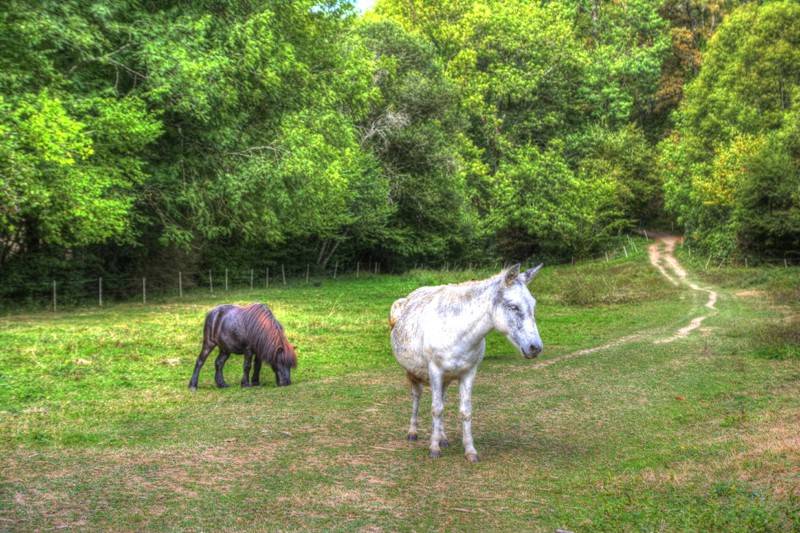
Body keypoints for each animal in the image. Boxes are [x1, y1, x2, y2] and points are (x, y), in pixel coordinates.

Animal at [390, 264, 544, 462]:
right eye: (513, 306)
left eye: (533, 305)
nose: (535, 347)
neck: (456, 330)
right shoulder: (435, 371)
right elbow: (436, 409)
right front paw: (434, 449)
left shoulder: (468, 373)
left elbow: (465, 411)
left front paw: (470, 451)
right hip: (414, 374)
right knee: (417, 397)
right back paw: (413, 433)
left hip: (446, 379)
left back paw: (443, 438)